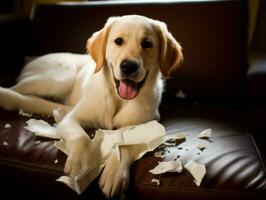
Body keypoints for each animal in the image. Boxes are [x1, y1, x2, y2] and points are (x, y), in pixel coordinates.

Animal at [0, 14, 183, 198]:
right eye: (118, 41)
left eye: (147, 44)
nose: (128, 66)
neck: (118, 99)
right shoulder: (72, 119)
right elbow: (81, 137)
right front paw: (80, 164)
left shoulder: (148, 127)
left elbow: (125, 144)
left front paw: (114, 174)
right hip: (59, 79)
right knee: (17, 90)